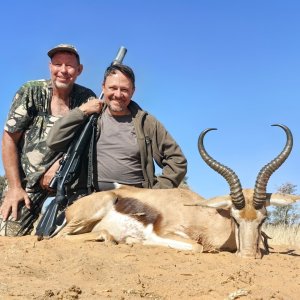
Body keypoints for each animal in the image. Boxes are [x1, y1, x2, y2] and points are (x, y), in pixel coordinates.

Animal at [55, 124, 298, 258]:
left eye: (263, 219)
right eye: (235, 219)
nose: (248, 255)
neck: (202, 215)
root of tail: (70, 208)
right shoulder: (165, 233)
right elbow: (196, 247)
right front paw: (135, 241)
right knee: (60, 237)